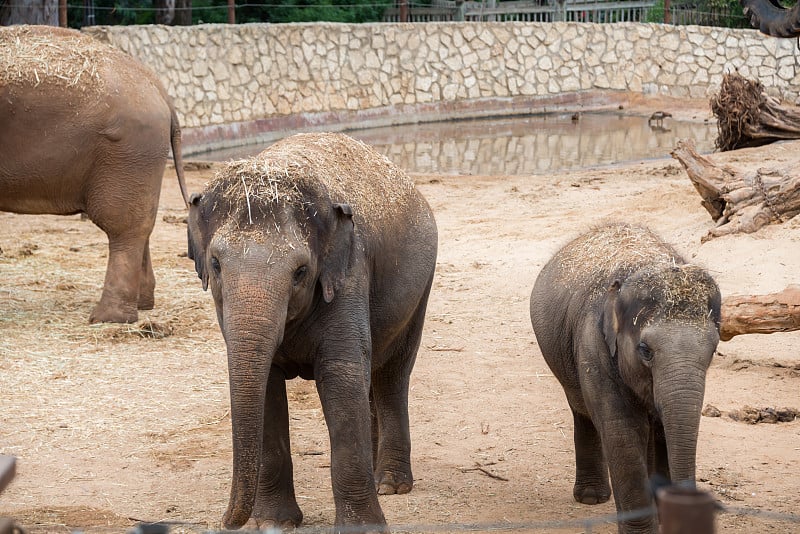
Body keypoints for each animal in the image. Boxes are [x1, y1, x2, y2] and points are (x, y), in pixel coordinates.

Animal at [0, 25, 188, 324]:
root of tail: (158, 88)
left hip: (127, 152)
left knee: (122, 225)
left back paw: (107, 319)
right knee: (142, 221)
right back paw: (143, 305)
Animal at [186, 132, 438, 532]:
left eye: (301, 271)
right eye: (215, 264)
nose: (225, 521)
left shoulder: (350, 273)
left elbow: (341, 375)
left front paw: (363, 529)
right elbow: (268, 386)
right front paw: (271, 524)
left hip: (419, 288)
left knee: (391, 375)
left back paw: (391, 485)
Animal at [528, 224, 720, 534]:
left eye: (713, 349)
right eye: (645, 350)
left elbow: (664, 430)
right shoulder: (594, 343)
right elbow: (622, 430)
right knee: (582, 410)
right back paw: (591, 498)